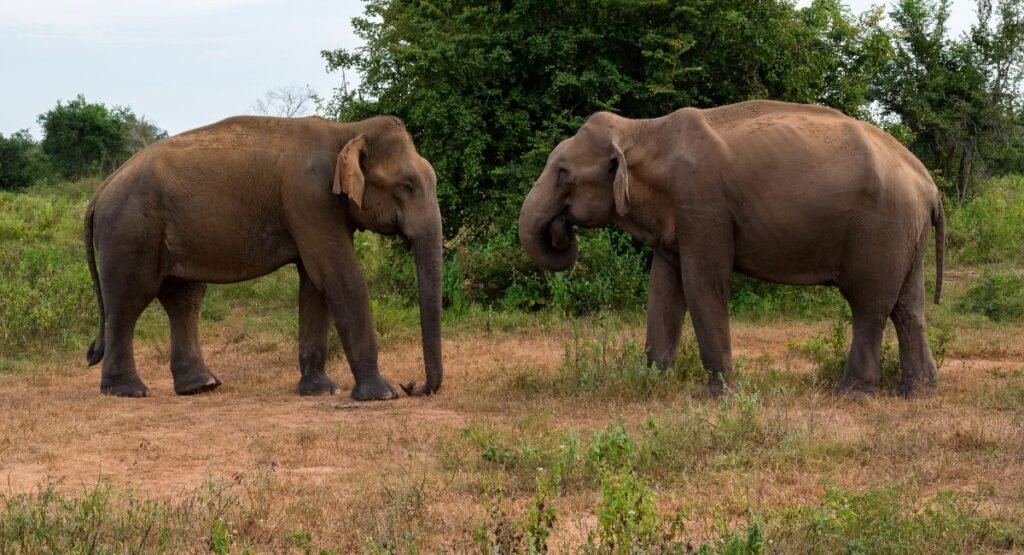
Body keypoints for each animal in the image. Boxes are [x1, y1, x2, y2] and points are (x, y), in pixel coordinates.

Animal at [83, 115, 444, 401]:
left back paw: (201, 386)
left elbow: (314, 283)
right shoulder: (309, 199)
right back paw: (129, 391)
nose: (413, 385)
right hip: (129, 231)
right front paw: (381, 395)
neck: (346, 131)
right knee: (129, 301)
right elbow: (338, 275)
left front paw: (321, 390)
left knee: (183, 299)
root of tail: (99, 192)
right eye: (407, 185)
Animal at [524, 97, 946, 397]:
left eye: (562, 172)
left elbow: (702, 283)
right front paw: (652, 382)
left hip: (881, 226)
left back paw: (850, 394)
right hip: (905, 232)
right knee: (908, 306)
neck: (642, 130)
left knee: (869, 304)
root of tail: (928, 183)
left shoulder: (703, 205)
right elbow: (663, 289)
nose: (562, 230)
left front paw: (717, 395)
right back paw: (917, 392)